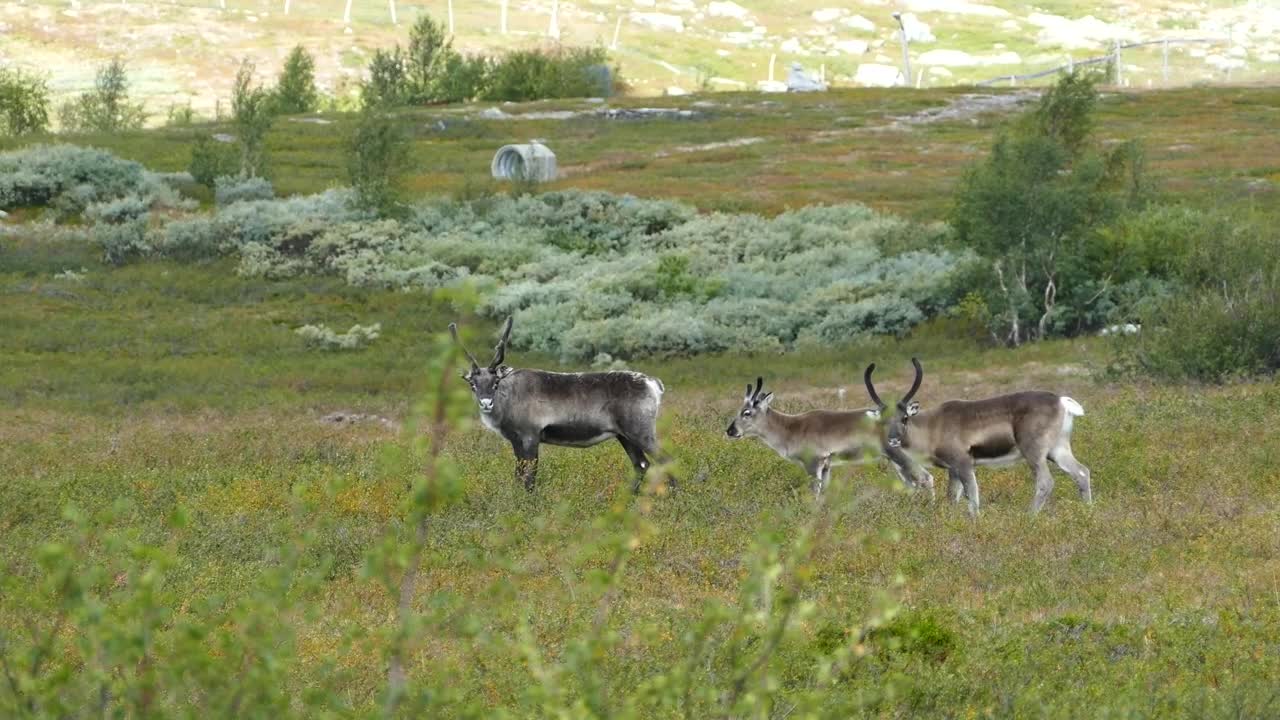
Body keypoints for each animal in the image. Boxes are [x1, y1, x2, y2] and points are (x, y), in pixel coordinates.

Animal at [450, 318, 673, 493]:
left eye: (495, 383)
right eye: (472, 384)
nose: (486, 403)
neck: (509, 400)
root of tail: (655, 384)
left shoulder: (531, 435)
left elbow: (529, 477)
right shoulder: (515, 439)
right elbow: (518, 474)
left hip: (641, 431)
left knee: (665, 462)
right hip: (624, 435)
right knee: (641, 465)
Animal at [725, 377, 922, 496]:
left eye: (747, 412)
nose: (730, 431)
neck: (789, 428)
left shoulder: (813, 462)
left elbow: (814, 495)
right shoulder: (826, 465)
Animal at [863, 358, 1092, 516]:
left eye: (904, 418)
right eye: (883, 420)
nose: (893, 440)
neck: (931, 428)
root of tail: (1061, 401)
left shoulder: (963, 462)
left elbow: (972, 498)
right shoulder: (952, 469)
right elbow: (952, 499)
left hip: (1033, 450)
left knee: (1045, 482)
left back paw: (1029, 517)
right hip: (1058, 449)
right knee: (1082, 472)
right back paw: (1087, 513)